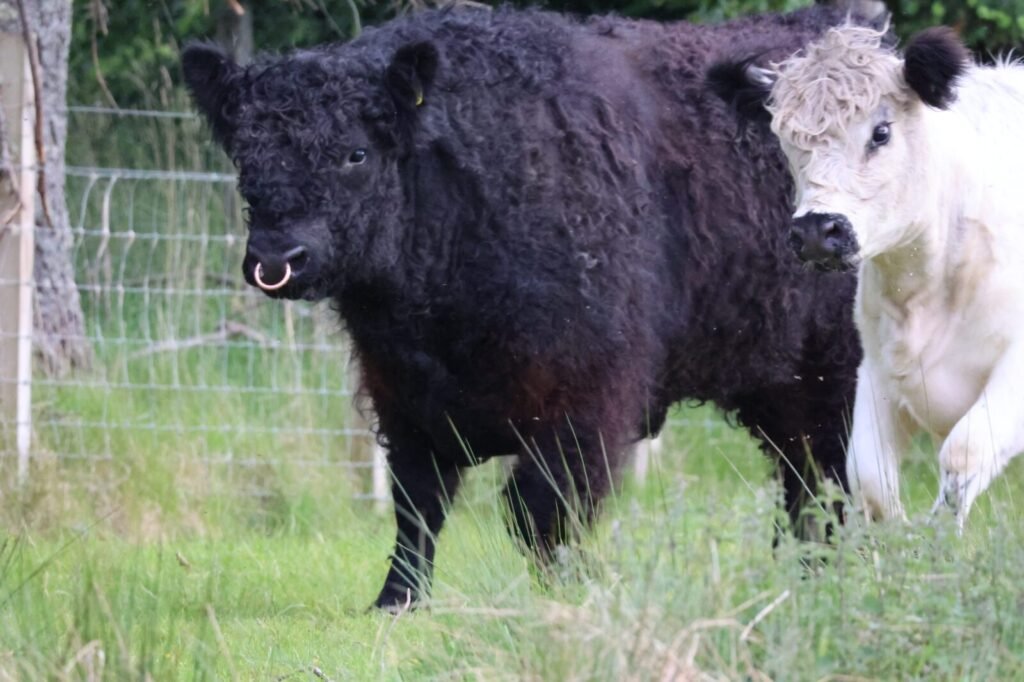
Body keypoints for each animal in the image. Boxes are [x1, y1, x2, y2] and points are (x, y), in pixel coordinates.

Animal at [183, 4, 869, 610]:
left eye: (356, 153)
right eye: (245, 155)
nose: (277, 258)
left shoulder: (584, 400)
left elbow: (537, 508)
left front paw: (566, 595)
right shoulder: (401, 397)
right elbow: (417, 506)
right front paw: (396, 601)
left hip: (834, 376)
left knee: (829, 478)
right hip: (780, 384)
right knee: (804, 478)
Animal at [709, 24, 1024, 529]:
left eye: (881, 132)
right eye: (786, 138)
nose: (817, 231)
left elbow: (964, 455)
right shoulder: (876, 368)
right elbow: (869, 480)